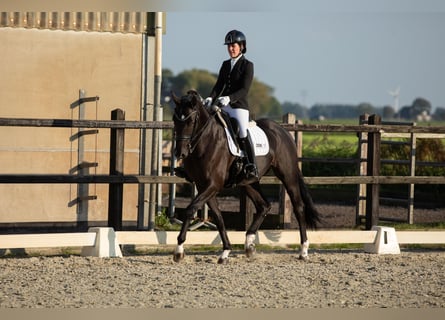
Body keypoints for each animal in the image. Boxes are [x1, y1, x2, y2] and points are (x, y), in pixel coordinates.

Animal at [171, 89, 320, 262]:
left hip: (287, 175)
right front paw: (225, 251)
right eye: (175, 120)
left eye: (190, 120)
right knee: (264, 206)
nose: (180, 153)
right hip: (248, 182)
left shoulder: (213, 185)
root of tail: (283, 131)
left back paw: (303, 250)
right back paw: (249, 244)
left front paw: (179, 250)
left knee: (299, 207)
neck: (206, 142)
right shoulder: (204, 187)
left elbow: (190, 210)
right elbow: (219, 217)